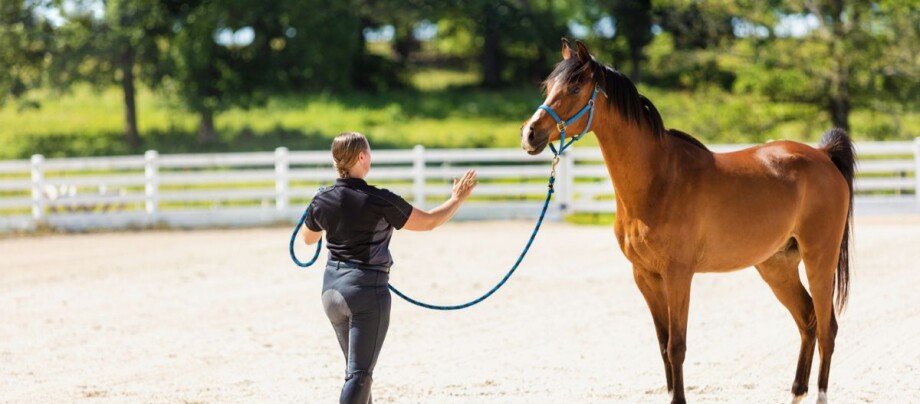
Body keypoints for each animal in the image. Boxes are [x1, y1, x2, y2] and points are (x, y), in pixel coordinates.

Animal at [524, 38, 856, 404]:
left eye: (575, 86)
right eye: (548, 86)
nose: (530, 133)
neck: (658, 180)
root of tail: (823, 156)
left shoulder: (678, 276)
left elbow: (676, 347)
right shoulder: (645, 277)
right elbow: (662, 345)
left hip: (819, 260)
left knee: (827, 329)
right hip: (777, 266)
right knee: (808, 321)